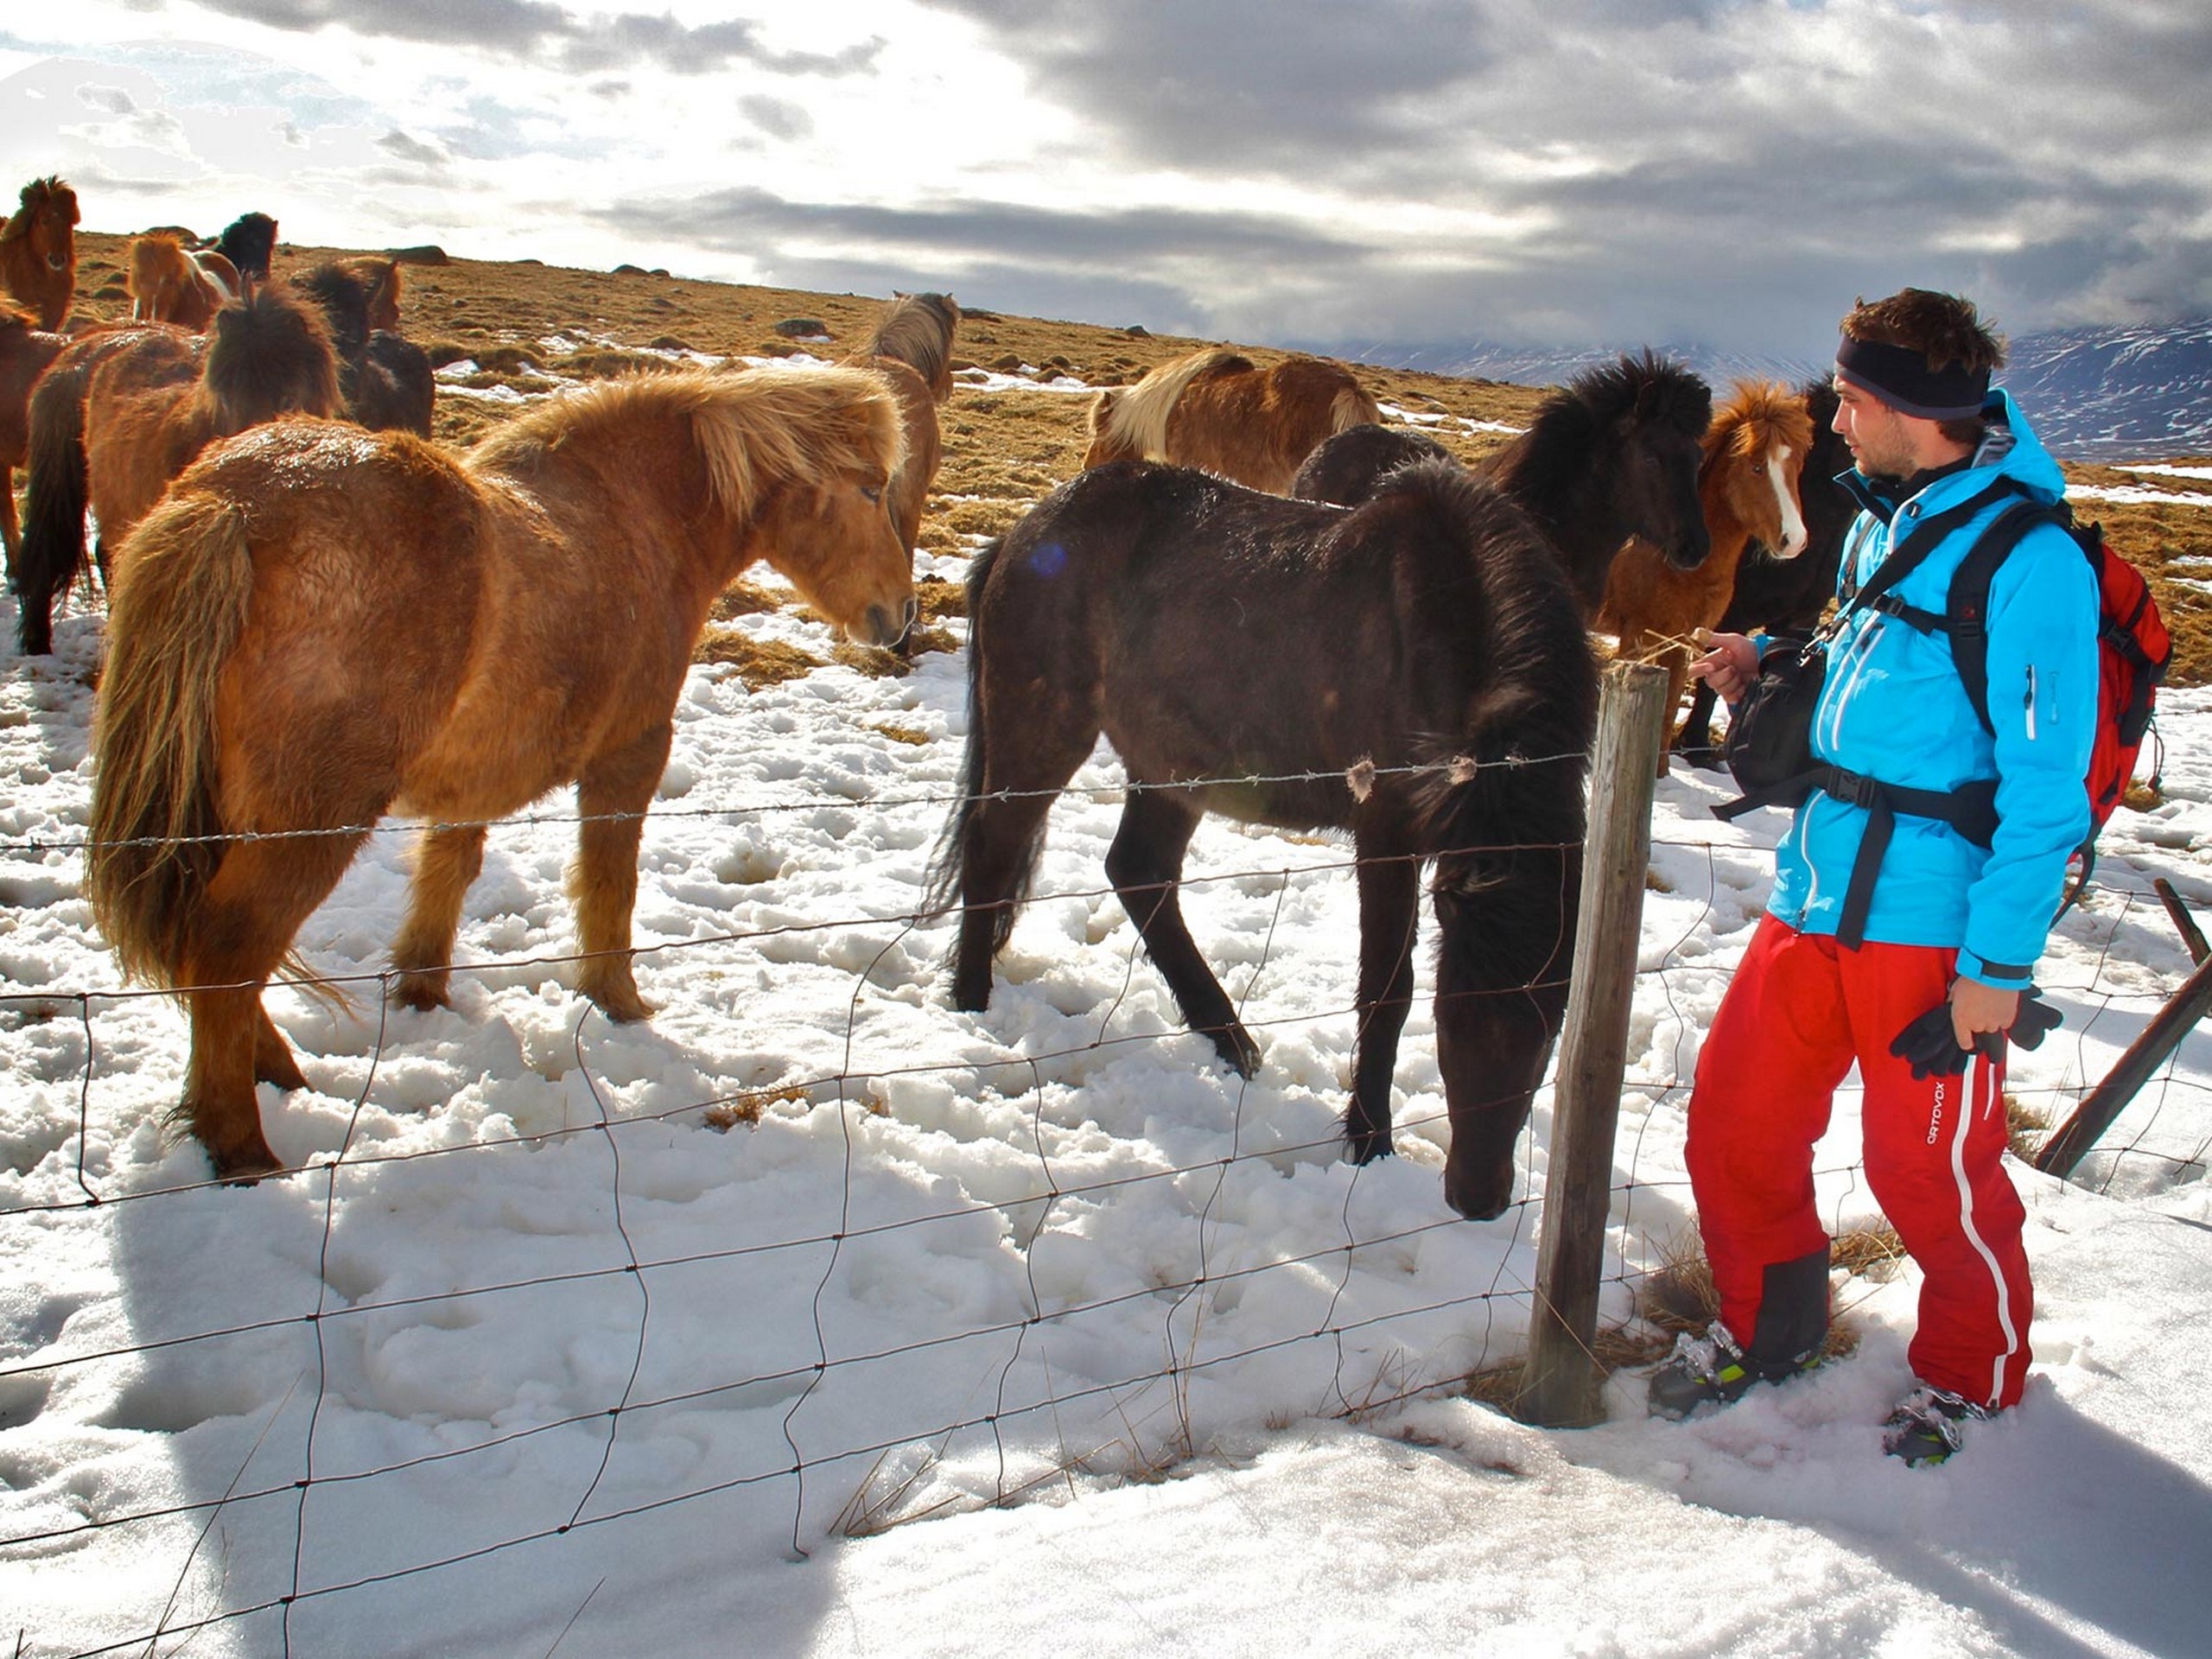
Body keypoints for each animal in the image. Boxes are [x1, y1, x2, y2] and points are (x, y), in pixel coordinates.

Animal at [78, 365, 906, 1185]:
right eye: (871, 489)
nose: (899, 616)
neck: (632, 516)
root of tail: (232, 503)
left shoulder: (468, 782)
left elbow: (448, 870)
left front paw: (423, 989)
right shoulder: (631, 756)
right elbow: (610, 882)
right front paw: (620, 1002)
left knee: (209, 956)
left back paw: (276, 1073)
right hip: (310, 821)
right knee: (227, 954)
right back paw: (241, 1148)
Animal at [1610, 380, 1814, 779]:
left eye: (1797, 463)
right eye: (1756, 467)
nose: (1794, 540)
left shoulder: (1682, 639)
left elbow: (1670, 703)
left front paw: (1661, 774)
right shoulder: (1637, 637)